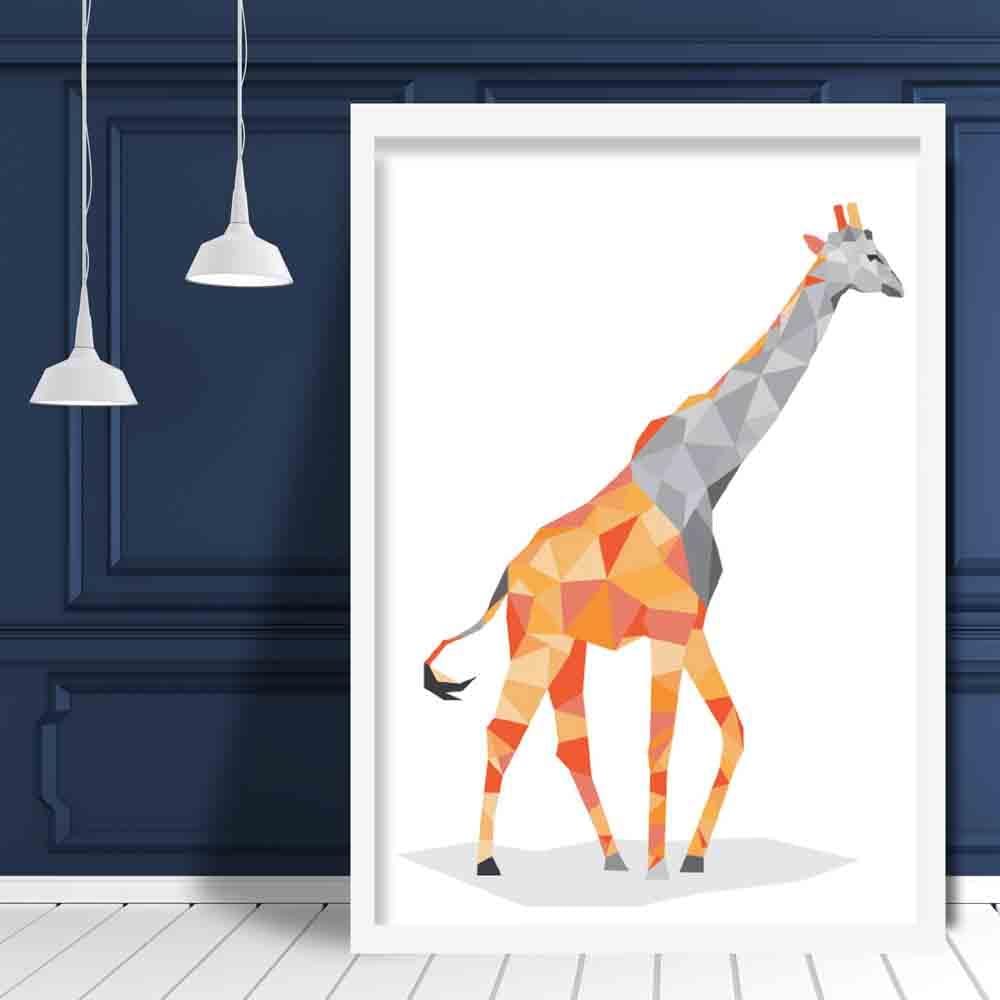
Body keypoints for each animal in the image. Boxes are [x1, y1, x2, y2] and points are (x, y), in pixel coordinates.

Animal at [424, 203, 903, 879]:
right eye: (869, 255)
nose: (897, 286)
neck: (709, 468)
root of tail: (505, 580)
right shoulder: (672, 626)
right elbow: (660, 744)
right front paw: (660, 868)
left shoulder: (694, 623)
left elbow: (734, 730)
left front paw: (691, 858)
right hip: (540, 643)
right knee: (502, 731)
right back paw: (491, 862)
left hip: (568, 649)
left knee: (569, 745)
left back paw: (611, 858)